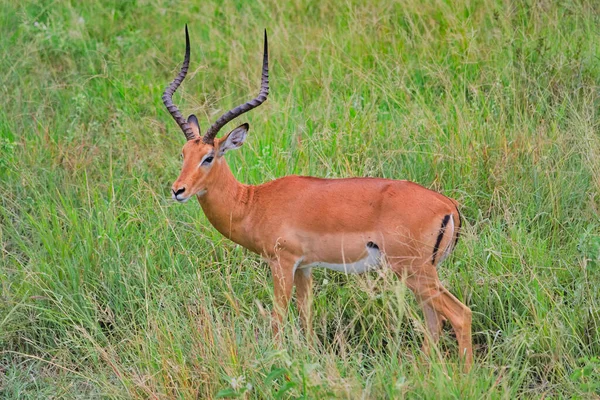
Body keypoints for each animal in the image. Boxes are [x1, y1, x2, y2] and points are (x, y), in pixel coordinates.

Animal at [162, 25, 472, 368]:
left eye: (208, 157)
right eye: (183, 153)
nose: (178, 190)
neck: (253, 203)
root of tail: (448, 206)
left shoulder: (282, 263)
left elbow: (278, 318)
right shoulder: (305, 267)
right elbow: (306, 316)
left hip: (413, 271)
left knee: (460, 315)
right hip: (420, 274)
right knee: (435, 321)